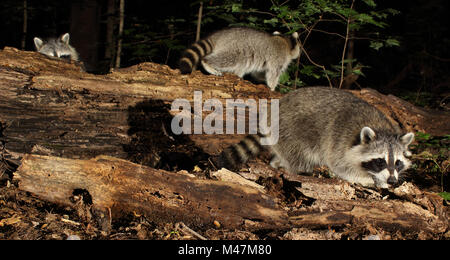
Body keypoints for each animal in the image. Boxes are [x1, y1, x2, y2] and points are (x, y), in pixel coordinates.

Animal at [213, 87, 416, 189]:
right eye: (380, 161)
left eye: (397, 162)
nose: (392, 181)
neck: (380, 128)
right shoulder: (339, 140)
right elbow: (340, 165)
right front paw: (366, 178)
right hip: (290, 129)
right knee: (298, 156)